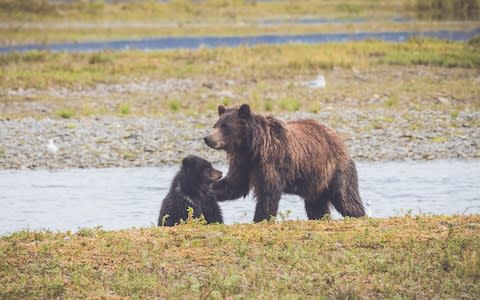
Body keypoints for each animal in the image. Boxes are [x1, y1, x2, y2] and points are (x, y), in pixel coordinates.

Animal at [204, 104, 366, 221]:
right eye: (216, 124)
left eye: (226, 126)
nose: (207, 138)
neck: (250, 148)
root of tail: (337, 137)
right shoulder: (243, 164)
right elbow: (234, 185)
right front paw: (210, 190)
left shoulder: (272, 161)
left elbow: (268, 193)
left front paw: (260, 218)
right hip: (316, 182)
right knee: (316, 205)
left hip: (334, 169)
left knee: (346, 198)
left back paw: (358, 215)